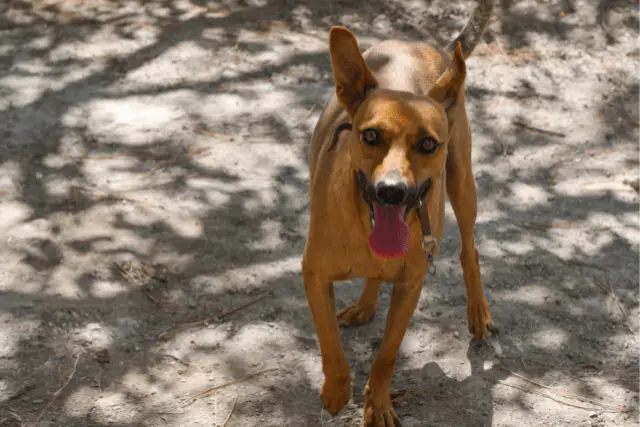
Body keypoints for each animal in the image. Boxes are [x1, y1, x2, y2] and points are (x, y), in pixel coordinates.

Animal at [302, 1, 498, 426]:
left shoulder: (411, 286)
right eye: (370, 135)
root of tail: (431, 48)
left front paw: (376, 403)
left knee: (470, 250)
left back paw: (478, 311)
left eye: (427, 144)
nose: (391, 192)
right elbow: (329, 342)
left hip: (463, 185)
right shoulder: (314, 276)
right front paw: (336, 389)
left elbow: (386, 356)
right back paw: (365, 305)